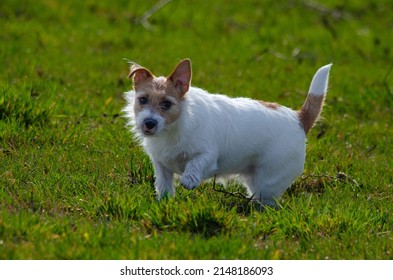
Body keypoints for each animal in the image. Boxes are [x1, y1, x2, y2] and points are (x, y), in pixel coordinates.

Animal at [123, 59, 330, 206]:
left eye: (167, 104)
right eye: (142, 100)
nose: (149, 123)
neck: (174, 127)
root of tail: (298, 118)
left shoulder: (208, 156)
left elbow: (195, 164)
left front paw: (189, 180)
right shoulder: (161, 166)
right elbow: (164, 186)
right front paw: (163, 204)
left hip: (268, 181)